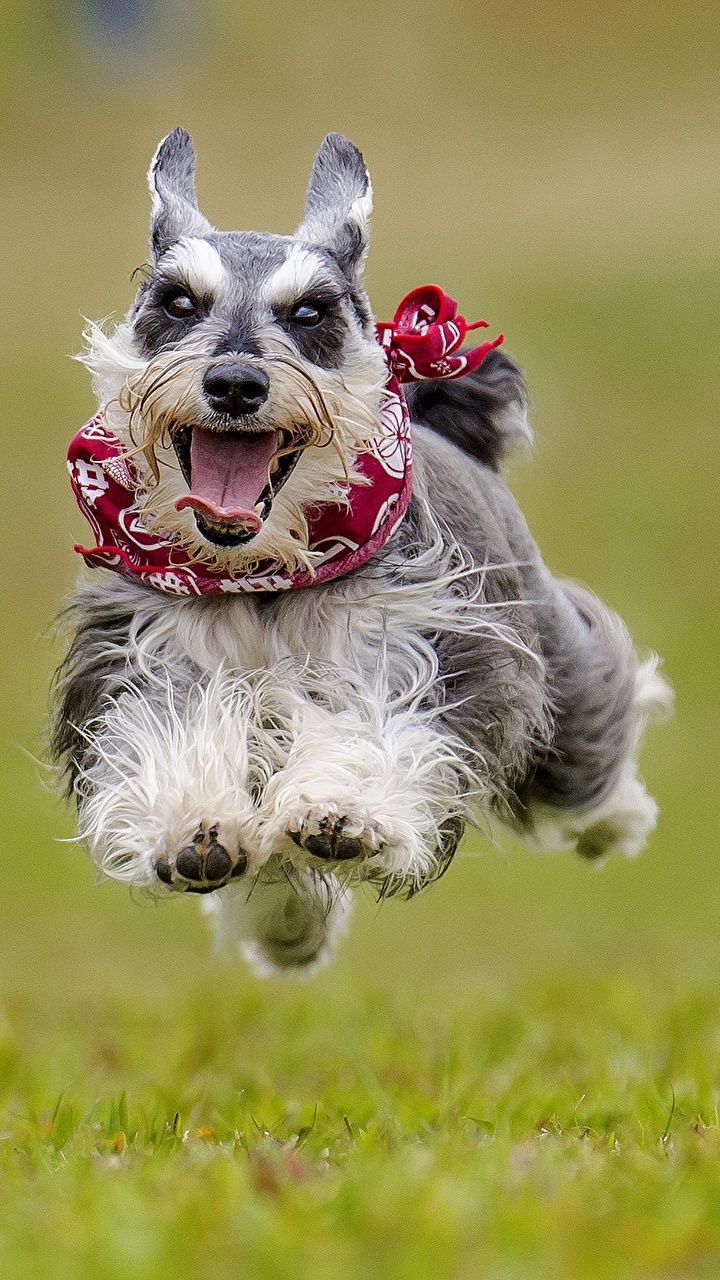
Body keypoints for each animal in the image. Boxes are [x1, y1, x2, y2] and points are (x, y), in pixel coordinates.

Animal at [51, 127, 671, 967]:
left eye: (311, 312)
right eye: (178, 301)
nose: (235, 382)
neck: (265, 574)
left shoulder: (415, 650)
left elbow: (368, 729)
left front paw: (340, 810)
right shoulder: (148, 654)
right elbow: (174, 731)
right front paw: (194, 826)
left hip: (557, 681)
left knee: (592, 745)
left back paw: (621, 818)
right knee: (277, 872)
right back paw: (286, 931)